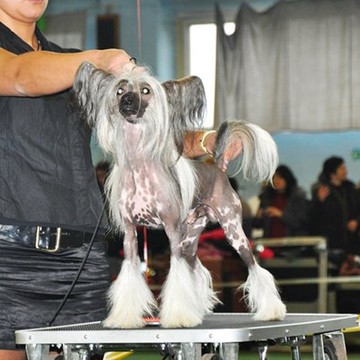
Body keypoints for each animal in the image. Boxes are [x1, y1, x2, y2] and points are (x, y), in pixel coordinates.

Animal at [74, 62, 286, 330]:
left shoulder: (172, 231)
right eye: (120, 90)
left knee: (254, 267)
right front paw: (125, 318)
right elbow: (131, 274)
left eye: (145, 90)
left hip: (232, 231)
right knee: (197, 268)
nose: (127, 101)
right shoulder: (131, 235)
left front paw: (178, 317)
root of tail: (218, 168)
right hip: (191, 237)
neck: (139, 167)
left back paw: (272, 311)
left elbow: (176, 276)